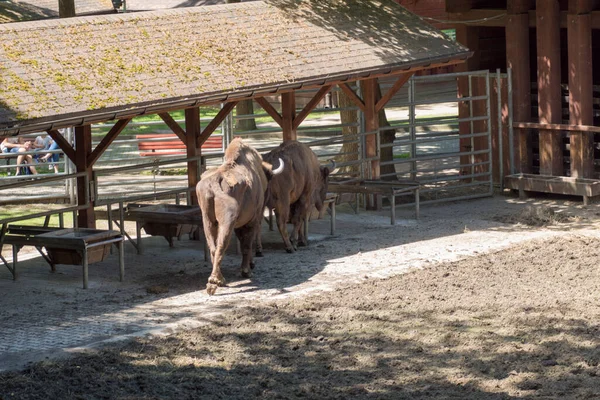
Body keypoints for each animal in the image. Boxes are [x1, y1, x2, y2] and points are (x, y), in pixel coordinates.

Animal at [196, 139, 282, 296]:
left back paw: (218, 279)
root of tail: (216, 180)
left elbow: (243, 243)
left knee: (213, 247)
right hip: (227, 222)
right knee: (222, 245)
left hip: (208, 220)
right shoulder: (252, 219)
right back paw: (215, 282)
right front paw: (247, 270)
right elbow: (247, 244)